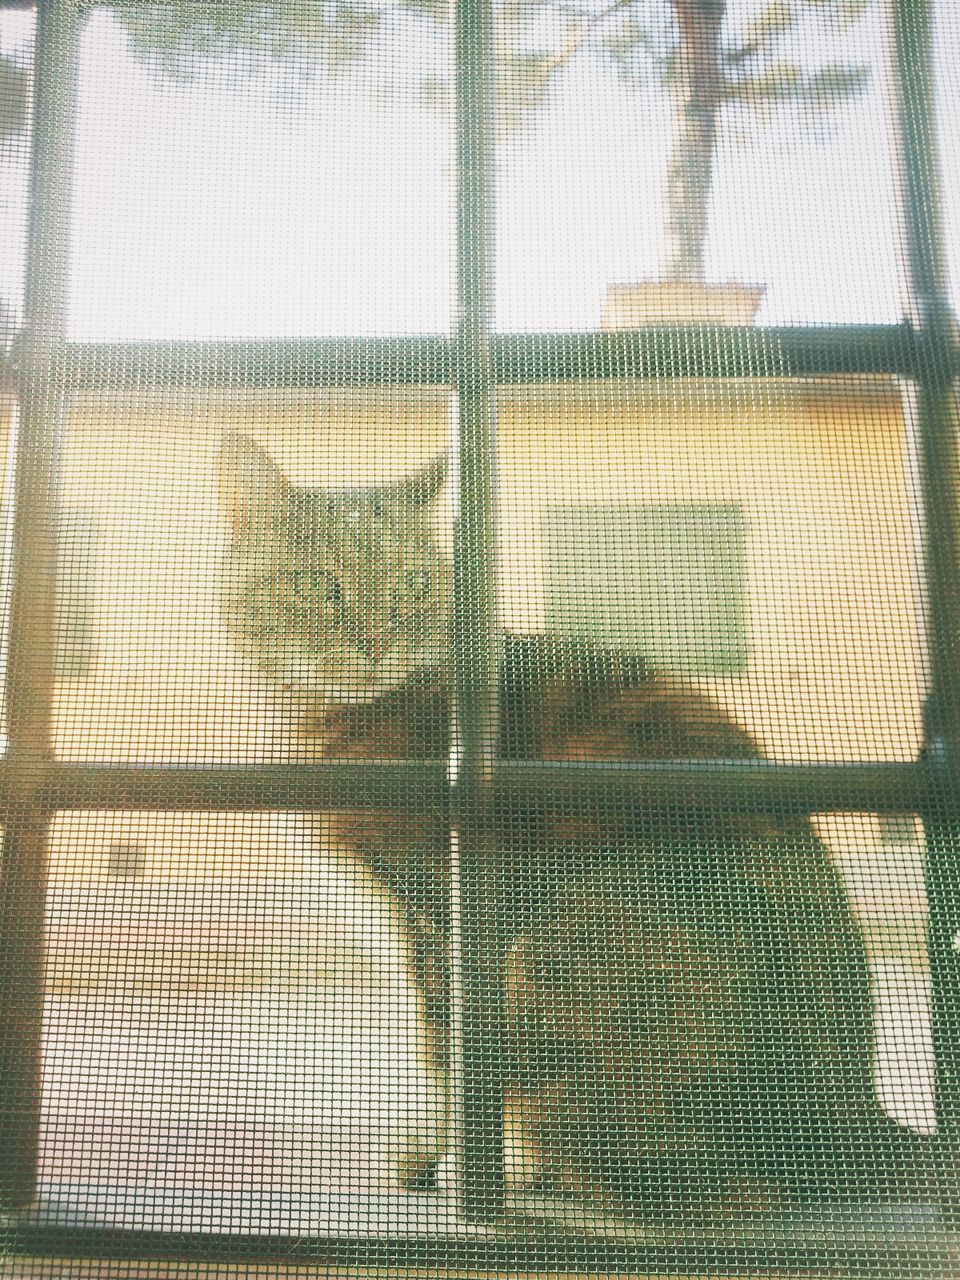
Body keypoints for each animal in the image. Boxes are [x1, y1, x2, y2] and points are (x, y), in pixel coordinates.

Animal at [216, 432, 931, 1218]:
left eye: (411, 587)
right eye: (320, 585)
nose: (378, 644)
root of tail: (858, 1119)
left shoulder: (435, 907)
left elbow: (441, 1051)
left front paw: (465, 1167)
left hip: (570, 935)